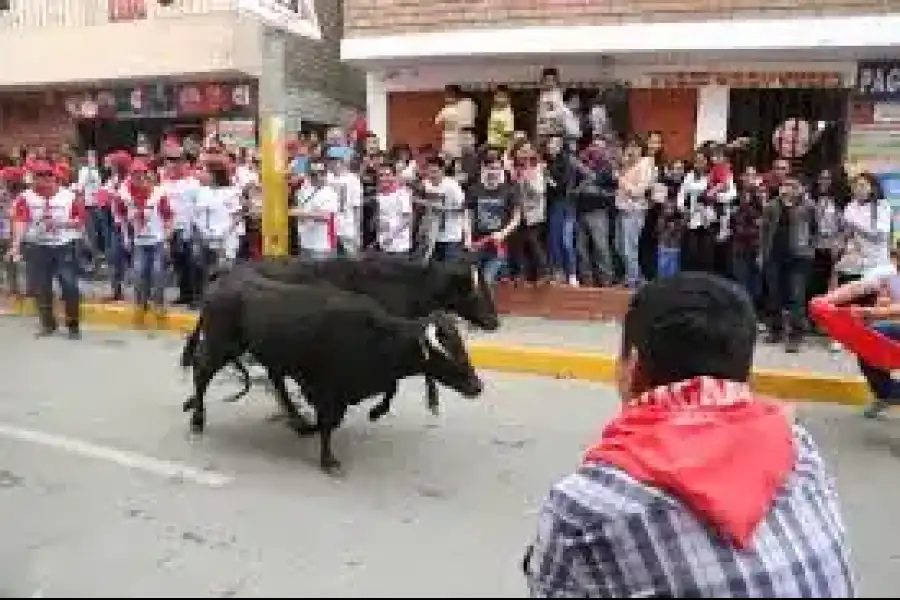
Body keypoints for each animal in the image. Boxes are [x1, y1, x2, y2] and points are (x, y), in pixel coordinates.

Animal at [178, 276, 482, 474]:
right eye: (444, 353)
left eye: (461, 347)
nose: (476, 386)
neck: (379, 337)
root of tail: (222, 284)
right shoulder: (326, 387)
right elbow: (329, 422)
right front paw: (328, 460)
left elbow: (389, 390)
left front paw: (374, 412)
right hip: (220, 345)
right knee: (201, 372)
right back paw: (197, 419)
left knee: (275, 381)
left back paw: (298, 422)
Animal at [180, 254, 502, 418]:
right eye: (476, 292)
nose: (495, 321)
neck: (406, 285)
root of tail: (228, 271)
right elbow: (396, 384)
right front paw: (378, 410)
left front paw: (431, 401)